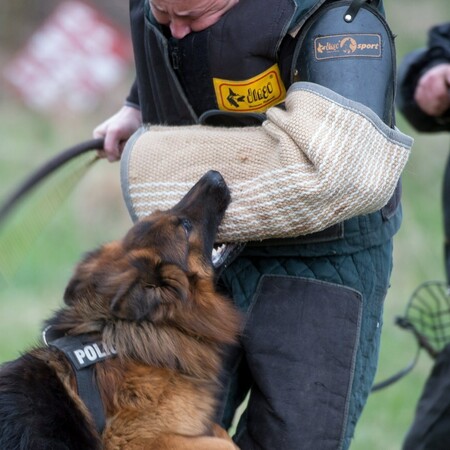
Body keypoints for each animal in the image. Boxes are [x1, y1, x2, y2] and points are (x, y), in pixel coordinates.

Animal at [0, 171, 241, 448]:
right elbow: (224, 439)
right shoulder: (140, 438)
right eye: (185, 225)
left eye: (163, 211)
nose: (214, 175)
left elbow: (220, 431)